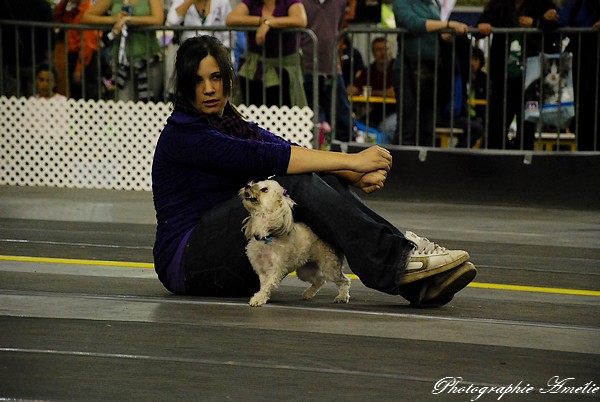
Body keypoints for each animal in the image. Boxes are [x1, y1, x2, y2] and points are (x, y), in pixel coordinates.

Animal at [239, 180, 352, 308]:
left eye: (265, 189)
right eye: (255, 183)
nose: (247, 186)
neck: (266, 237)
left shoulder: (276, 269)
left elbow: (268, 284)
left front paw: (258, 299)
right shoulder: (261, 269)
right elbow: (264, 285)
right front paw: (262, 297)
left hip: (329, 268)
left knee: (344, 280)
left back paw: (342, 297)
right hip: (305, 271)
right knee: (320, 280)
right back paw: (308, 293)